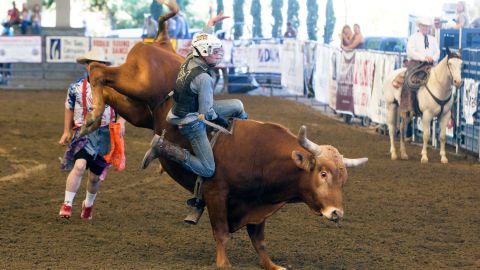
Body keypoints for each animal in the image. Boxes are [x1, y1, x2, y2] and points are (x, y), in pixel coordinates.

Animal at [81, 2, 368, 270]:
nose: (336, 213)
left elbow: (259, 240)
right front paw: (223, 262)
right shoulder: (216, 192)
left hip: (141, 111)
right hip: (138, 82)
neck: (262, 156)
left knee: (110, 92)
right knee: (98, 70)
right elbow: (221, 232)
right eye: (323, 173)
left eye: (344, 179)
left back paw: (92, 120)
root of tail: (161, 41)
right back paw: (94, 115)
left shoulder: (258, 207)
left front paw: (271, 264)